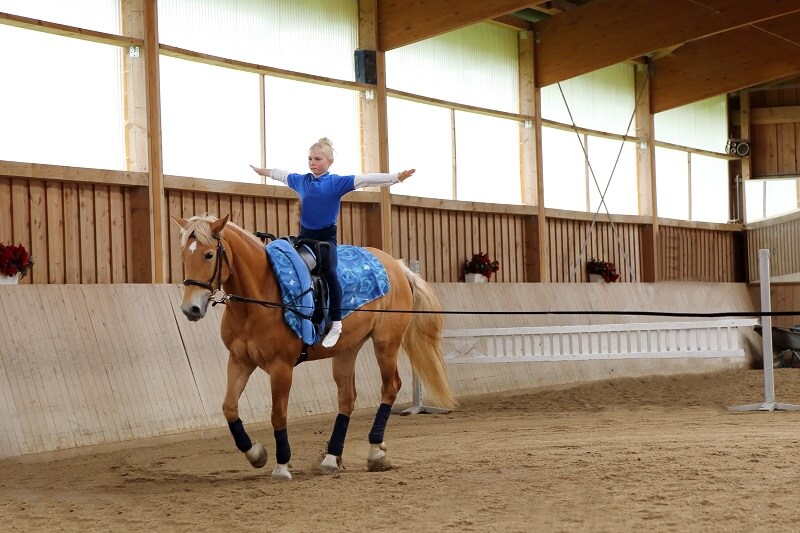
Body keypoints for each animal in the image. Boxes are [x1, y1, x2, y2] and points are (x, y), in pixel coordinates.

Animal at [173, 212, 456, 478]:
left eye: (209, 255)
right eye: (184, 255)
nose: (191, 309)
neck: (259, 298)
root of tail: (397, 266)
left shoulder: (281, 367)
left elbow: (278, 413)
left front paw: (282, 465)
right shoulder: (240, 360)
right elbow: (229, 407)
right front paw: (256, 454)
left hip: (386, 343)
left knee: (390, 387)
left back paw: (376, 452)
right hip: (346, 350)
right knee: (347, 398)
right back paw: (331, 458)